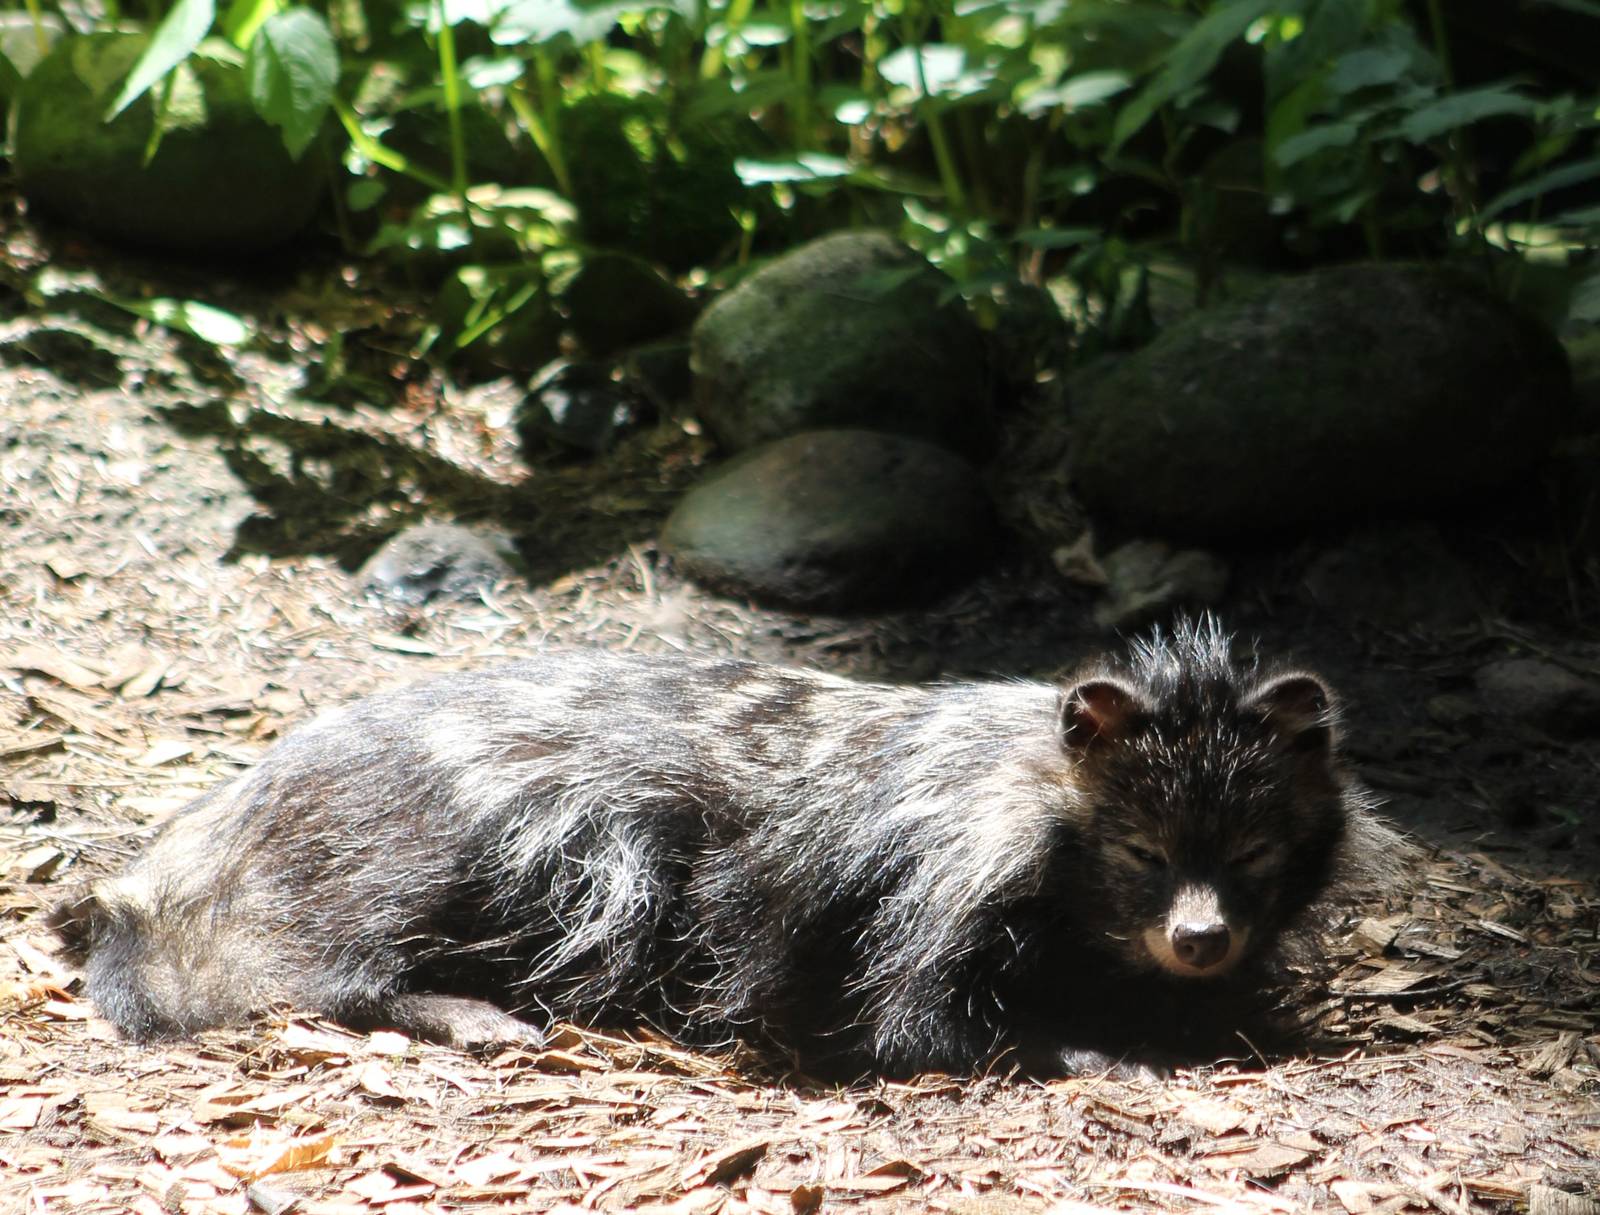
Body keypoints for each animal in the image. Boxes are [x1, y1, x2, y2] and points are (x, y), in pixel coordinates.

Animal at [52, 617, 1404, 1076]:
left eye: (1256, 855)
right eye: (1138, 851)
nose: (1198, 938)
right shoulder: (932, 879)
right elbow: (912, 1023)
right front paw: (1098, 1048)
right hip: (464, 837)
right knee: (335, 956)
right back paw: (465, 1011)